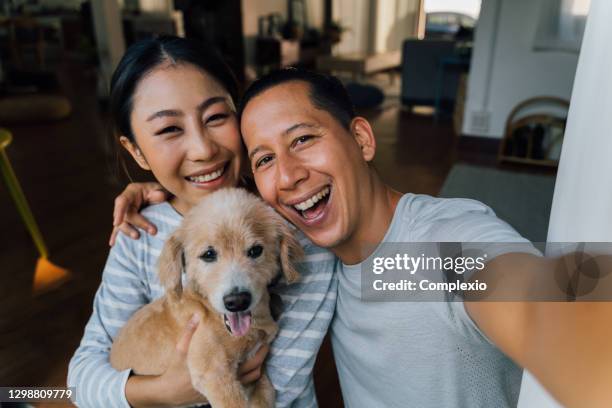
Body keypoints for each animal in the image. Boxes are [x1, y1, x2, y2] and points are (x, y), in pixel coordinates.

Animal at [111, 186, 302, 406]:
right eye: (208, 254)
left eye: (256, 250)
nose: (237, 301)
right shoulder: (213, 373)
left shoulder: (257, 373)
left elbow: (265, 395)